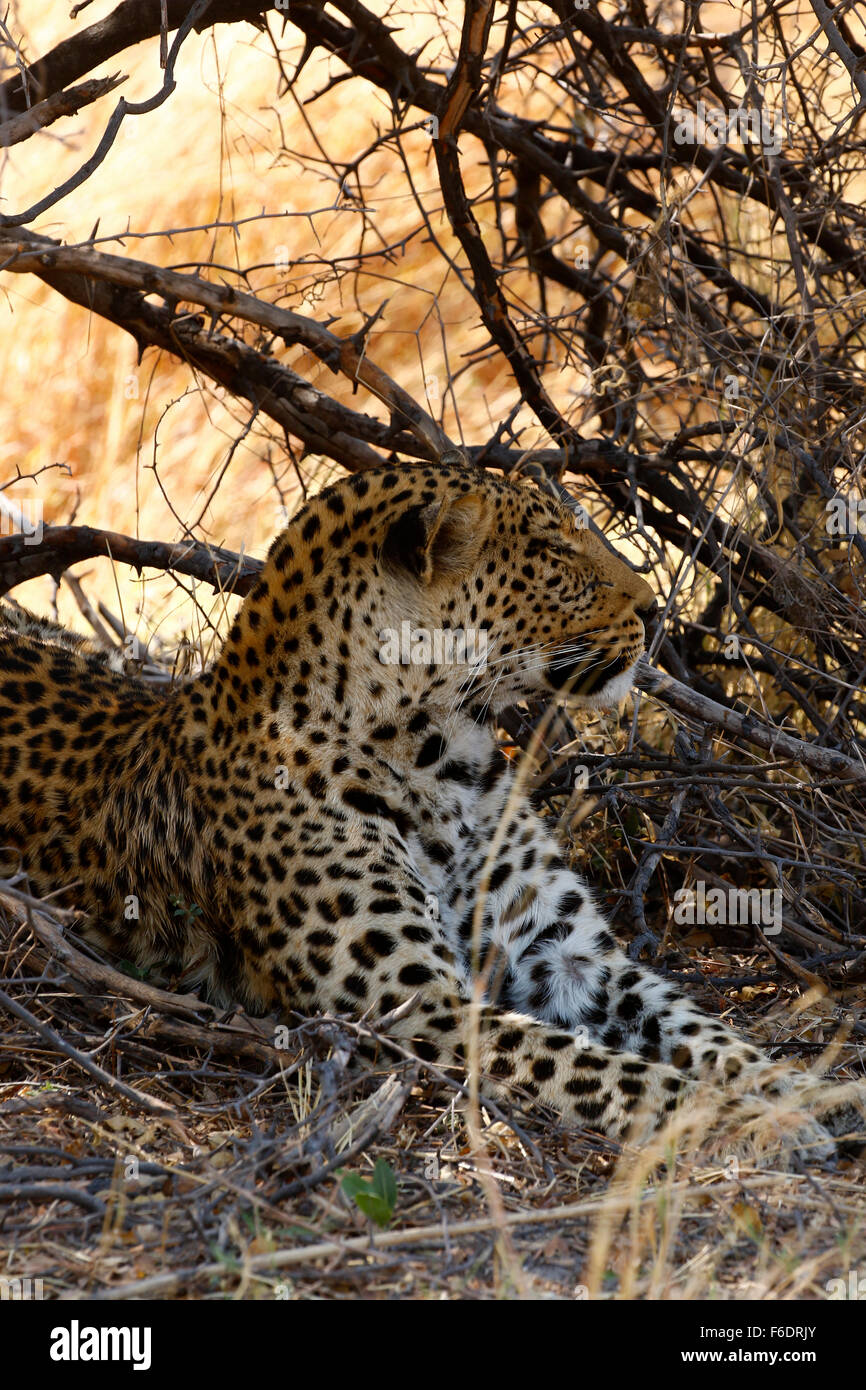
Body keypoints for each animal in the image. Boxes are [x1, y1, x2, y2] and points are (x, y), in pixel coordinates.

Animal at [0, 461, 860, 1158]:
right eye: (554, 556)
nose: (655, 613)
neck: (448, 759)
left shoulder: (567, 956)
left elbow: (703, 1032)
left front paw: (807, 1090)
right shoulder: (415, 1004)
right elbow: (606, 1069)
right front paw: (750, 1121)